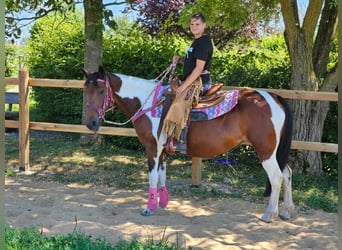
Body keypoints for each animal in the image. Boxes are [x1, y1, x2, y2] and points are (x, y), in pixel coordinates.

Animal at [82, 65, 294, 222]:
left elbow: (152, 177)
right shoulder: (163, 150)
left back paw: (269, 214)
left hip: (265, 151)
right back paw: (286, 211)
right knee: (287, 173)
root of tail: (274, 97)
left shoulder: (152, 148)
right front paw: (162, 202)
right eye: (85, 90)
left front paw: (149, 208)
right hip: (275, 152)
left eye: (101, 90)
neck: (148, 103)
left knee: (276, 177)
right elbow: (162, 176)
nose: (90, 123)